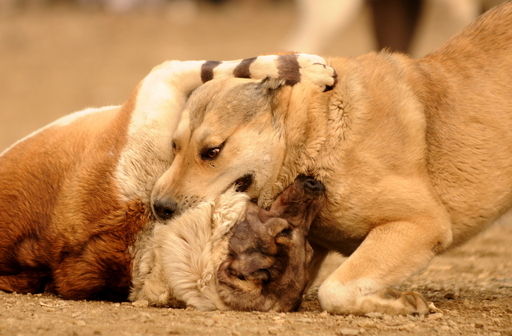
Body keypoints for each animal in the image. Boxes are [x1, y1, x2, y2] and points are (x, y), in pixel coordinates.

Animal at [0, 55, 336, 302]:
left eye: (309, 253)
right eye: (285, 232)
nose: (313, 185)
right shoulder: (158, 85)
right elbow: (215, 66)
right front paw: (305, 69)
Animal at [150, 2, 512, 316]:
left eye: (213, 151)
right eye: (175, 146)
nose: (159, 208)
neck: (320, 133)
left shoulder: (422, 223)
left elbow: (334, 290)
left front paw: (396, 303)